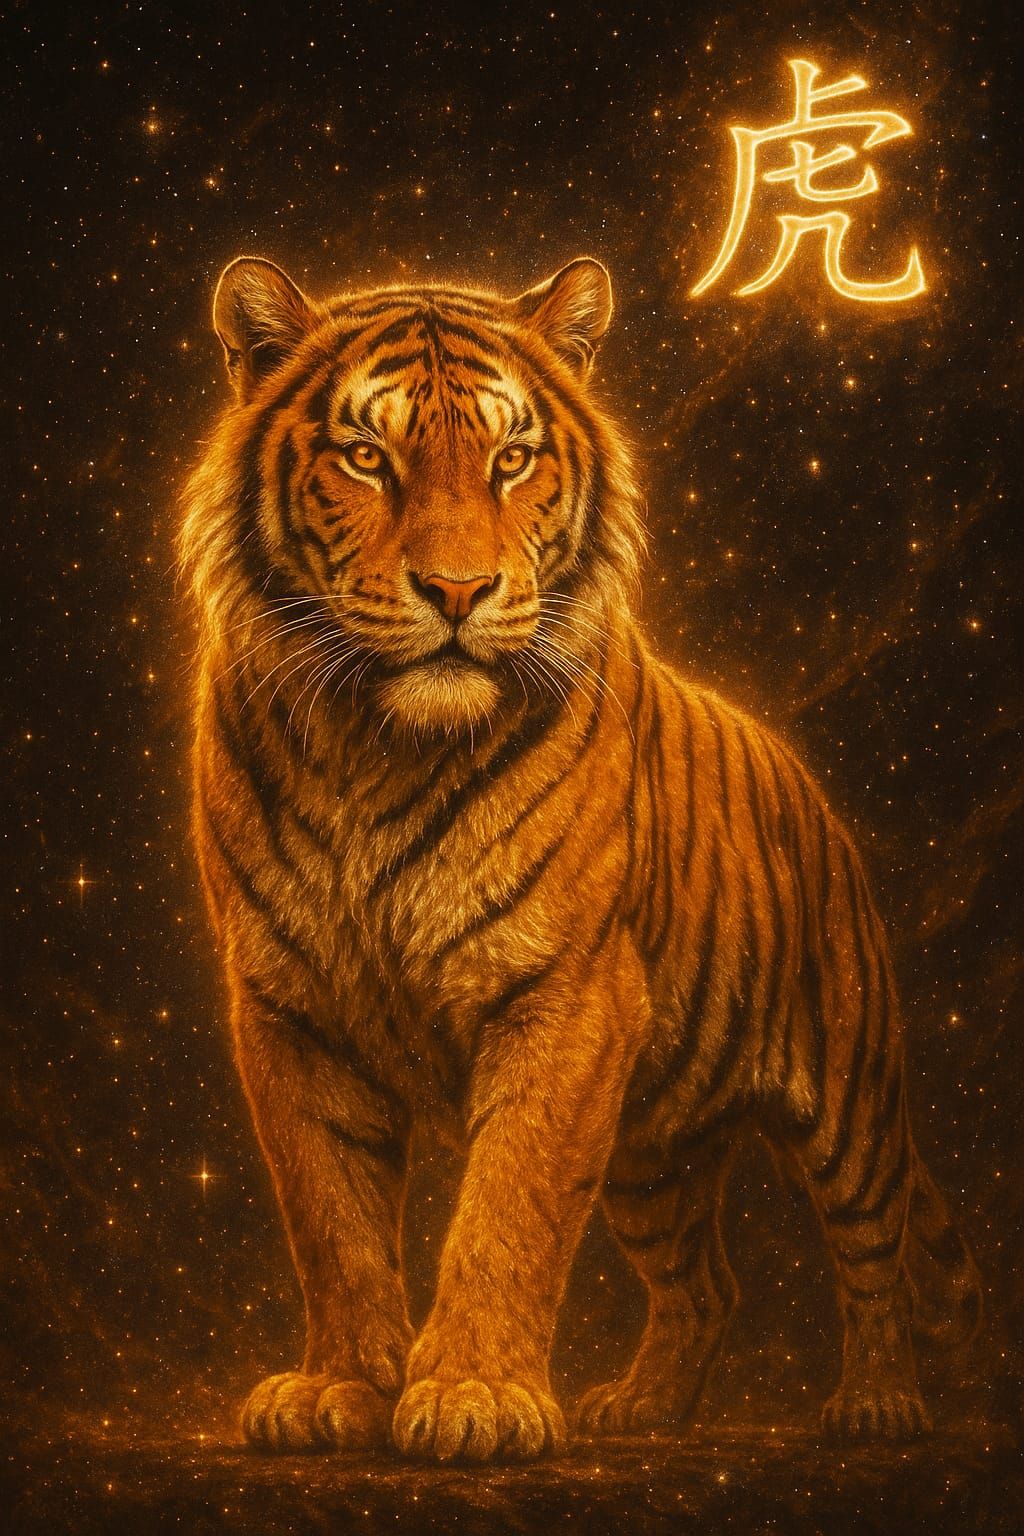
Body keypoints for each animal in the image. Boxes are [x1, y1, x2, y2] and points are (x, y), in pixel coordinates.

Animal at [179, 253, 982, 1463]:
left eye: (511, 459)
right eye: (366, 456)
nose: (457, 592)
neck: (376, 748)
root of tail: (803, 778)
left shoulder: (567, 995)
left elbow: (508, 1208)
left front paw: (471, 1397)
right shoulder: (289, 1009)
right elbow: (333, 1218)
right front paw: (339, 1389)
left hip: (848, 1096)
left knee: (873, 1253)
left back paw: (876, 1405)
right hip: (651, 1152)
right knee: (708, 1286)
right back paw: (643, 1407)